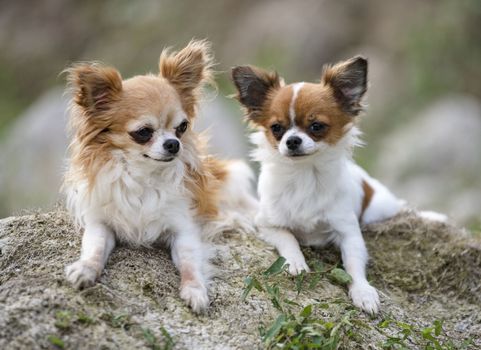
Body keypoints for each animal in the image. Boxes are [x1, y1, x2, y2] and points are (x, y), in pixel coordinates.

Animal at [65, 40, 256, 312]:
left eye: (182, 127)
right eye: (144, 132)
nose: (174, 144)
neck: (144, 174)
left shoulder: (184, 229)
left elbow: (189, 263)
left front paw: (195, 290)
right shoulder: (100, 224)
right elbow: (95, 248)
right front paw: (85, 269)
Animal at [231, 56, 444, 314]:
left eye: (316, 126)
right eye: (277, 128)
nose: (292, 141)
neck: (305, 175)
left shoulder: (348, 232)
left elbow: (353, 266)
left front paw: (363, 292)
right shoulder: (266, 223)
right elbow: (288, 239)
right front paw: (295, 262)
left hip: (379, 210)